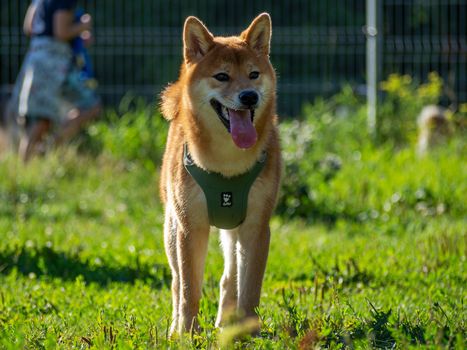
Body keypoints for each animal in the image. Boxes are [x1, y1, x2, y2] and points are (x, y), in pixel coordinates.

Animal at [160, 13, 282, 334]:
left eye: (253, 74)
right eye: (222, 76)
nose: (249, 96)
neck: (227, 164)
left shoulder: (256, 227)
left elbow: (250, 287)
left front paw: (250, 333)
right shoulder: (191, 227)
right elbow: (189, 289)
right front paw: (187, 334)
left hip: (233, 229)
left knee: (230, 278)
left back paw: (227, 323)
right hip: (172, 227)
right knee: (176, 281)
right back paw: (175, 327)